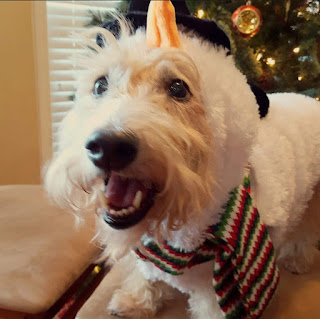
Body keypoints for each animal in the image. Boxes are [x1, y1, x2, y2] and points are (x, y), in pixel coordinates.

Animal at [45, 1, 320, 318]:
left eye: (178, 88)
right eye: (100, 85)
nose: (107, 147)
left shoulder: (217, 293)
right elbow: (146, 274)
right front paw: (136, 299)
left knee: (306, 230)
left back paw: (297, 258)